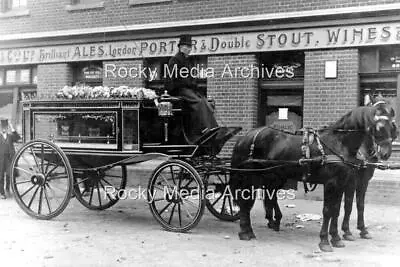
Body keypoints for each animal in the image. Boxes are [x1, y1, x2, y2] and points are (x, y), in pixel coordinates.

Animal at [230, 103, 396, 252]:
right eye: (379, 127)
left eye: (392, 127)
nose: (385, 153)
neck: (339, 143)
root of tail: (246, 137)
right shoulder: (332, 184)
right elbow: (328, 211)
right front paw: (324, 241)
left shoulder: (342, 183)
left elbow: (337, 210)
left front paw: (336, 238)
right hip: (249, 176)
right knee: (246, 201)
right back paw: (246, 231)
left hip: (273, 175)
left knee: (265, 197)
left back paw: (267, 224)